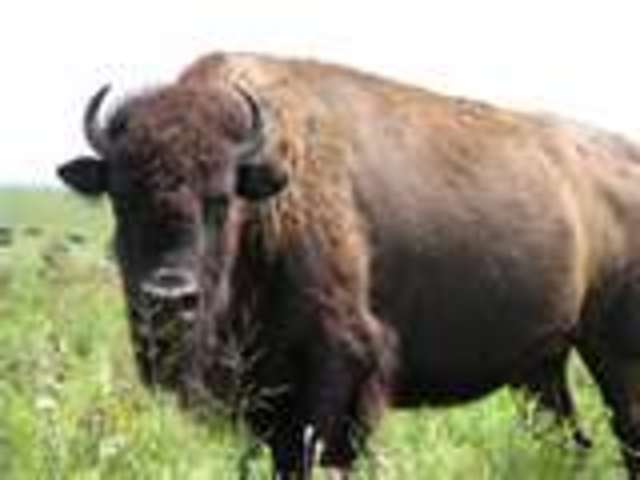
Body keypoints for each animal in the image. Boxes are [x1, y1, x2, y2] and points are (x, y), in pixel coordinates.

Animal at [59, 52, 640, 479]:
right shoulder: (264, 398)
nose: (168, 299)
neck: (273, 195)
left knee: (626, 431)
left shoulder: (342, 367)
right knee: (572, 438)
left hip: (611, 350)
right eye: (120, 197)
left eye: (222, 199)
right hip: (541, 366)